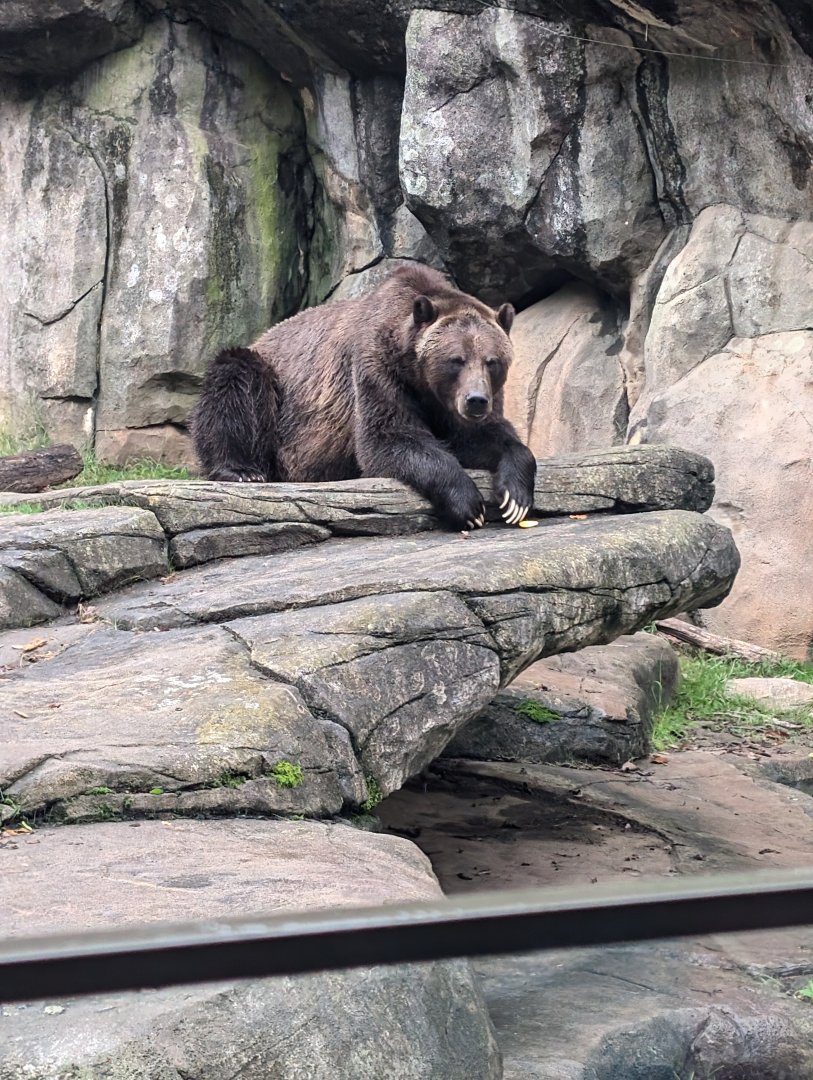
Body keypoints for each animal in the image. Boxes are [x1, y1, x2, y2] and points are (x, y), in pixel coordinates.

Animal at [190, 264, 536, 531]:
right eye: (456, 360)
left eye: (491, 361)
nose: (476, 400)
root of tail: (262, 337)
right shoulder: (375, 369)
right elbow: (388, 438)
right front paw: (468, 505)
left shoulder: (450, 405)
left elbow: (482, 437)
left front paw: (515, 497)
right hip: (275, 389)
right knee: (235, 379)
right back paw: (242, 470)